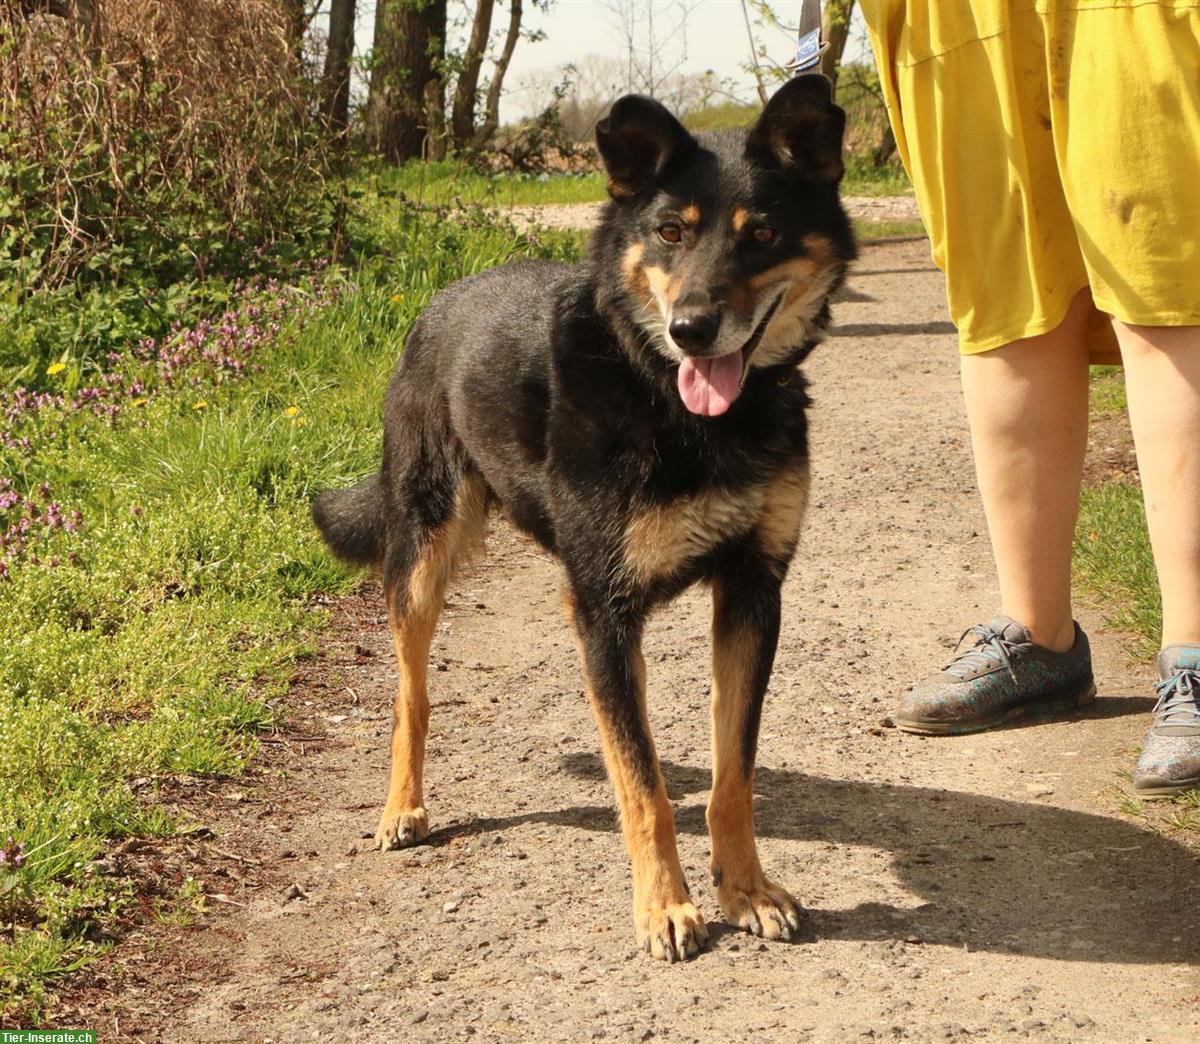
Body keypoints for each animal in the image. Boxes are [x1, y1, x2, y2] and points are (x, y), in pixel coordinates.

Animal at [309, 77, 854, 964]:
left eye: (763, 234)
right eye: (670, 232)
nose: (692, 330)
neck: (675, 402)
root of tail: (439, 301)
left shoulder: (752, 594)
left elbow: (731, 776)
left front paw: (745, 890)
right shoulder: (604, 608)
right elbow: (644, 786)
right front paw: (664, 907)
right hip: (422, 555)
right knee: (410, 696)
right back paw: (402, 807)